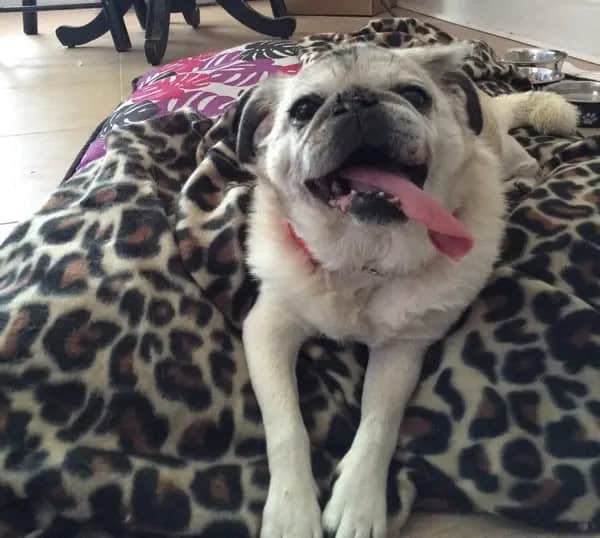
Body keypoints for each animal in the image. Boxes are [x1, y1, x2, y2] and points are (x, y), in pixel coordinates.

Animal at [234, 43, 578, 538]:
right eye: (303, 110)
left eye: (416, 96)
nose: (356, 100)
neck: (363, 260)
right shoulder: (268, 330)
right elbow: (285, 424)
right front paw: (292, 508)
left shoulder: (403, 349)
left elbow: (380, 419)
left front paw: (359, 501)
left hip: (506, 148)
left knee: (531, 164)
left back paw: (521, 182)